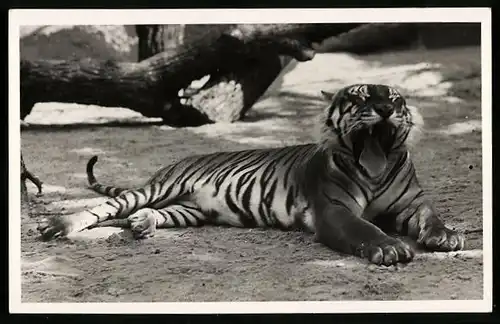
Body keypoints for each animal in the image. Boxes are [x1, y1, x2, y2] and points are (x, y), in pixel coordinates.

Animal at [38, 83, 464, 266]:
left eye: (393, 99)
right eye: (359, 98)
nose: (385, 110)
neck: (374, 170)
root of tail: (172, 165)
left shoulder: (412, 203)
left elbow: (432, 216)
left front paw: (446, 235)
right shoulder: (334, 211)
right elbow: (365, 228)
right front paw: (389, 247)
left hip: (189, 210)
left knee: (152, 213)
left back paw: (143, 224)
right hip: (157, 188)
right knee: (103, 208)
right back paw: (56, 225)